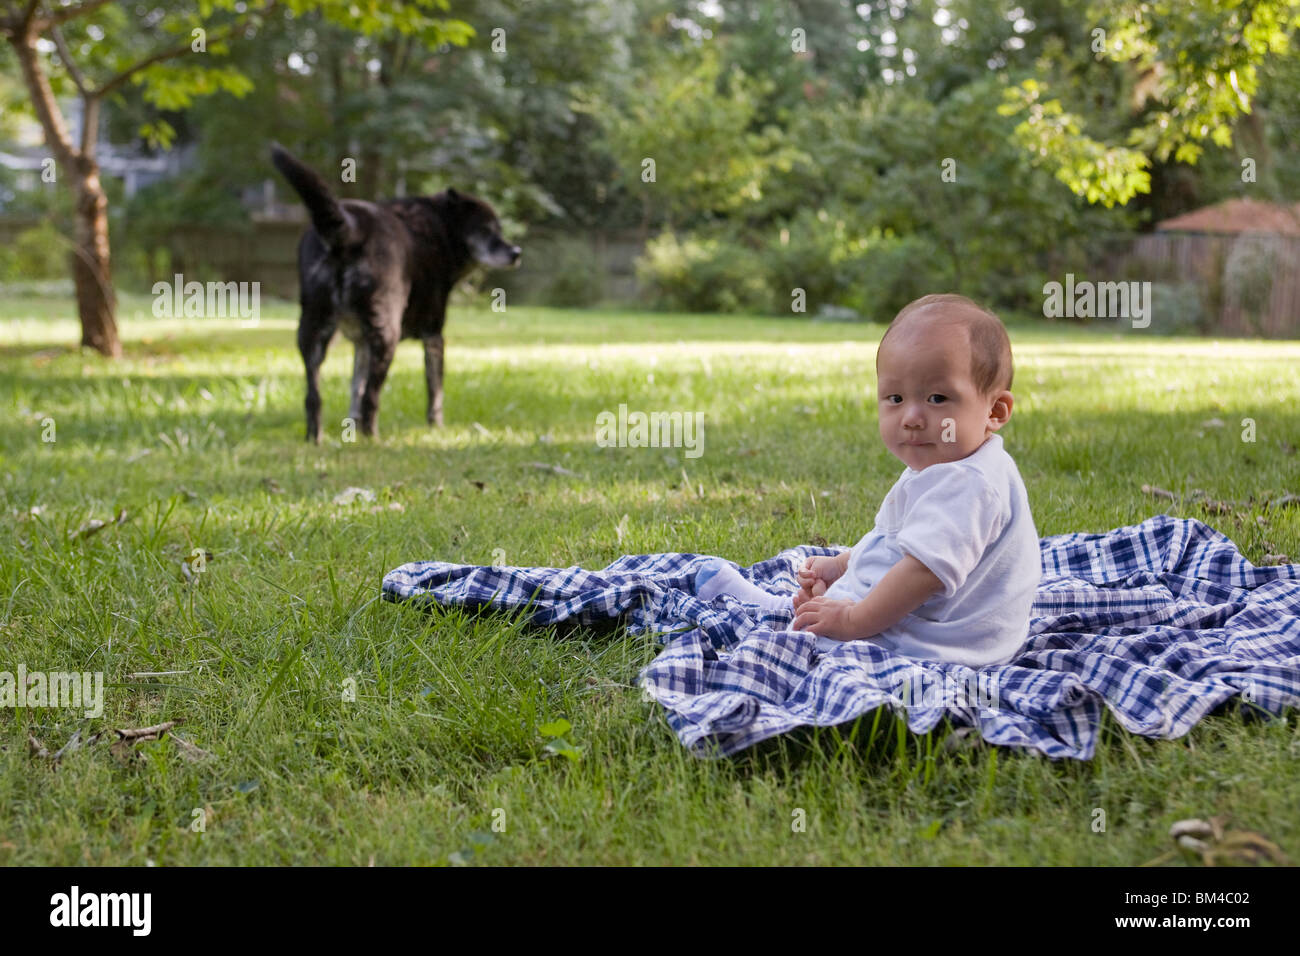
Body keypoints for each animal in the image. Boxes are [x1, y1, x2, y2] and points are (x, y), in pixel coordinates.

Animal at [271, 143, 520, 442]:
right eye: (485, 229)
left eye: (499, 229)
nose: (516, 252)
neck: (441, 229)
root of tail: (349, 230)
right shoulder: (433, 335)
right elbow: (435, 391)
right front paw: (436, 427)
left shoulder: (361, 344)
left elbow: (355, 389)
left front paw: (352, 429)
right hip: (386, 334)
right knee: (372, 397)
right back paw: (373, 439)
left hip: (312, 332)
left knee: (313, 397)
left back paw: (316, 438)